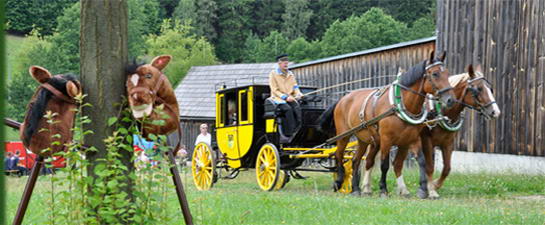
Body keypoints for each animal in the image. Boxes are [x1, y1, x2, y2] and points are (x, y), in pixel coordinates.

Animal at [318, 51, 454, 196]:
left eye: (447, 73)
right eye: (435, 74)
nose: (450, 100)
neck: (399, 106)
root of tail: (343, 99)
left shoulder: (411, 140)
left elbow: (417, 162)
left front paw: (420, 189)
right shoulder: (386, 139)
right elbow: (385, 164)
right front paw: (383, 189)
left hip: (364, 139)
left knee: (355, 160)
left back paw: (356, 189)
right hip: (344, 135)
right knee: (338, 154)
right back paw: (339, 182)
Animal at [410, 63, 500, 199]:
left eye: (490, 88)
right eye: (478, 88)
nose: (496, 112)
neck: (441, 111)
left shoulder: (448, 143)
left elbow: (447, 168)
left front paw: (435, 185)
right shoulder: (426, 140)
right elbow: (429, 166)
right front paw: (431, 190)